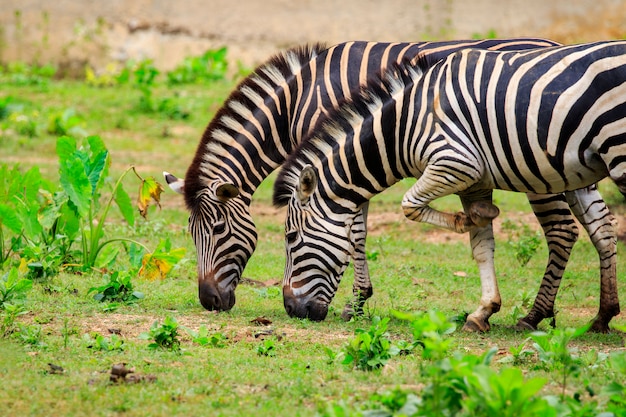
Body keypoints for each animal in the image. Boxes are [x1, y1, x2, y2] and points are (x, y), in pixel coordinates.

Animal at [163, 39, 612, 330]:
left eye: (218, 230)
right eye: (191, 234)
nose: (210, 303)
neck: (294, 101)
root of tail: (552, 42)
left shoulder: (339, 163)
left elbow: (355, 233)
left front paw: (357, 302)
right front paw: (359, 298)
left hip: (536, 168)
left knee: (562, 231)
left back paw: (536, 315)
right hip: (574, 165)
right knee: (598, 225)